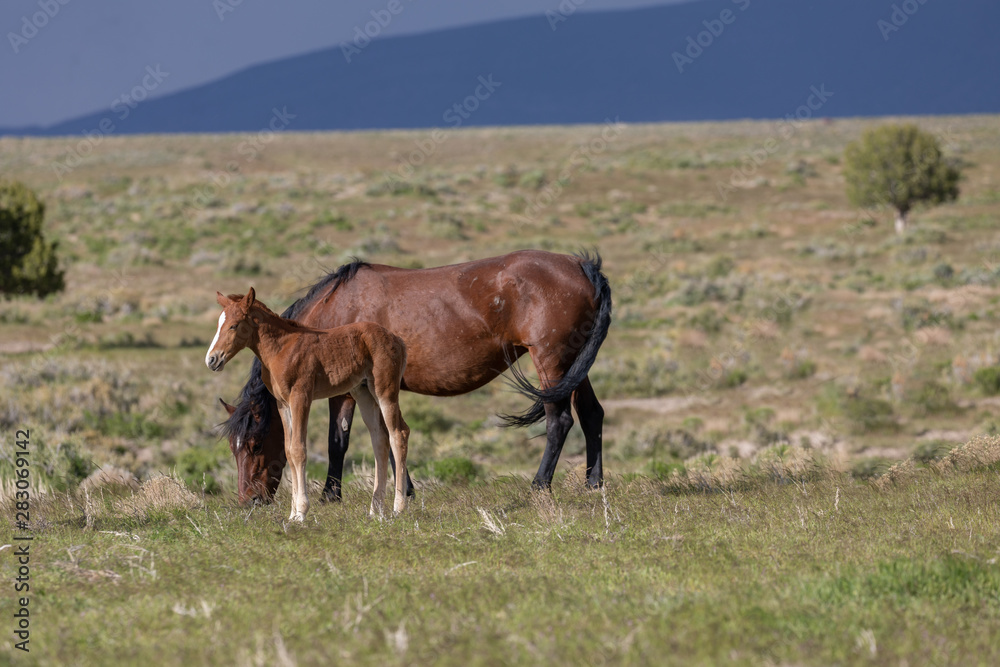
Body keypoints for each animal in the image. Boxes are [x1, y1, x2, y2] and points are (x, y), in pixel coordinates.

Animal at [205, 288, 408, 520]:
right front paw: (292, 514)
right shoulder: (283, 404)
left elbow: (298, 449)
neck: (281, 349)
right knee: (380, 439)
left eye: (234, 325)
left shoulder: (300, 397)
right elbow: (288, 451)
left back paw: (399, 507)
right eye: (218, 324)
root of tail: (397, 340)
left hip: (385, 391)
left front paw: (301, 512)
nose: (212, 359)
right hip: (364, 393)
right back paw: (375, 510)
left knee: (398, 434)